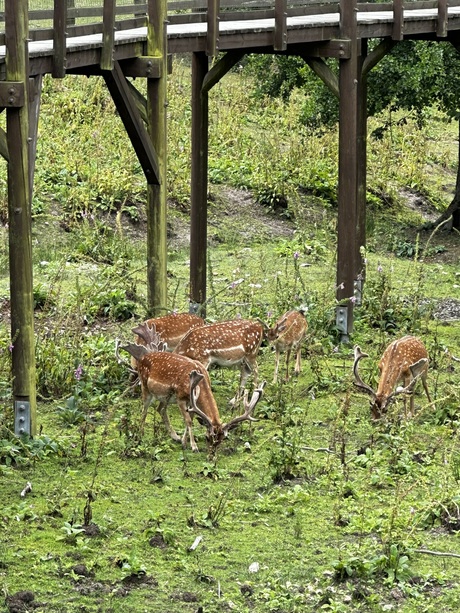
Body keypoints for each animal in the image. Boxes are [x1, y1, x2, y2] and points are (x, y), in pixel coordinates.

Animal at [117, 320, 264, 450]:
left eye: (222, 439)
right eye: (208, 437)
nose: (128, 391)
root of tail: (260, 327)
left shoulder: (203, 362)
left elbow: (190, 418)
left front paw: (187, 442)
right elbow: (189, 419)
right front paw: (189, 443)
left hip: (251, 353)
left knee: (254, 371)